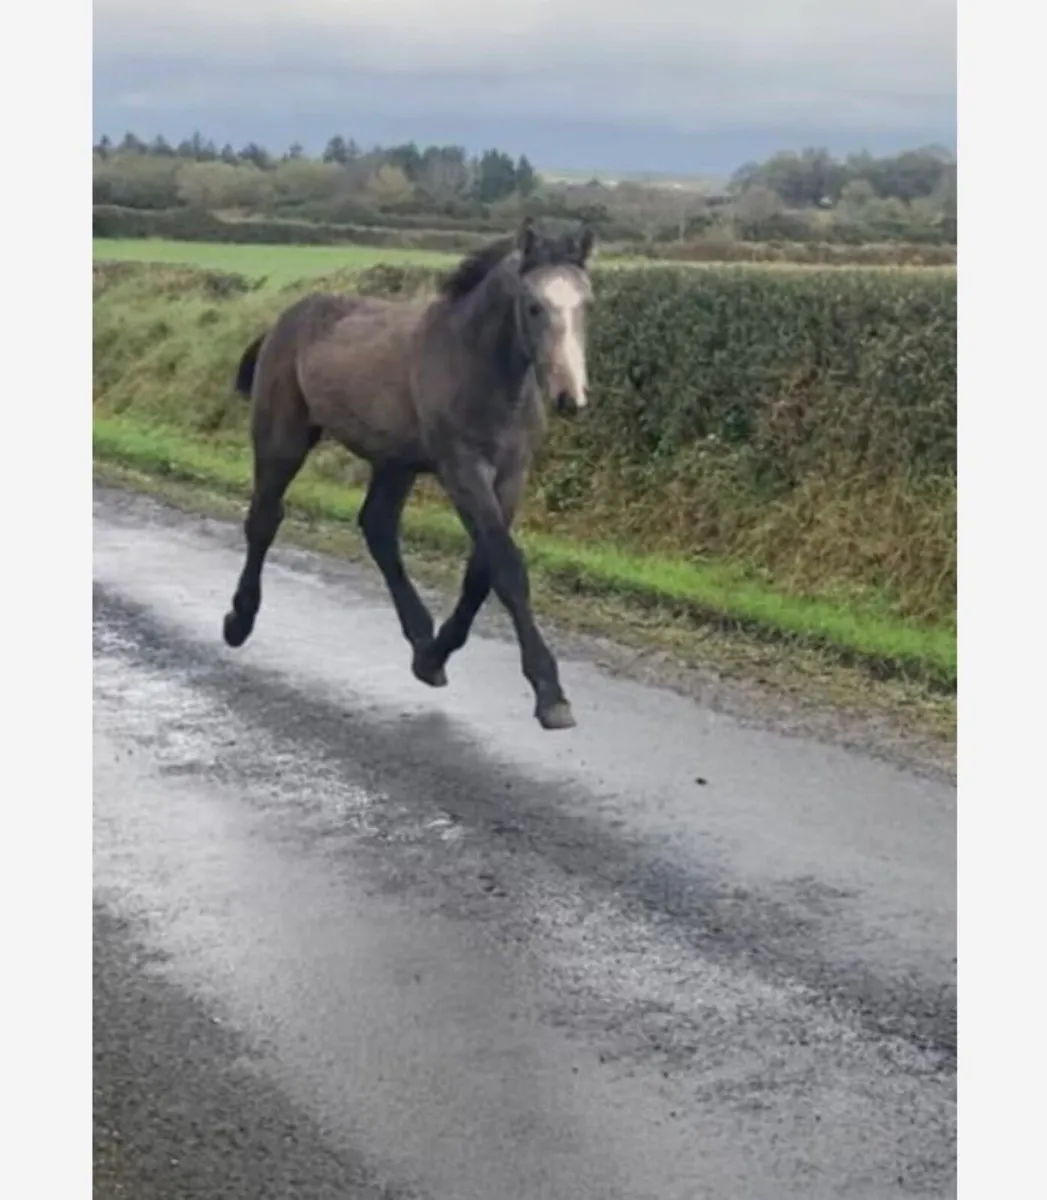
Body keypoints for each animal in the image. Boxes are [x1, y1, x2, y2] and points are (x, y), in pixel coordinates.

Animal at [222, 217, 596, 731]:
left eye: (587, 303)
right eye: (533, 304)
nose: (569, 396)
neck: (477, 364)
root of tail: (284, 320)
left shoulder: (510, 476)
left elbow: (482, 570)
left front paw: (435, 656)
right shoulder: (462, 469)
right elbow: (507, 567)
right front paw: (550, 692)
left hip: (393, 462)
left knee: (377, 527)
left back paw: (421, 638)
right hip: (284, 438)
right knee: (264, 519)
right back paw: (239, 621)